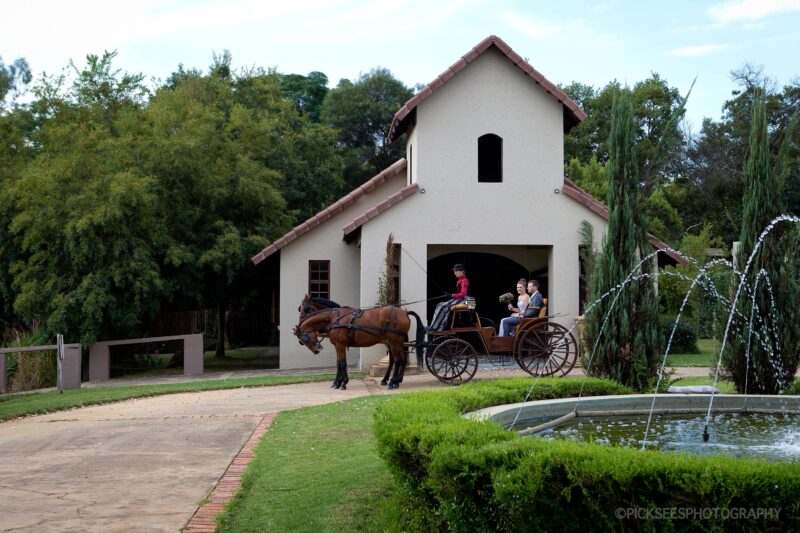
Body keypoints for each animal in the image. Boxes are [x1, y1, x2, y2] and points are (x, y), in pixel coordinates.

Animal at [294, 298, 424, 388]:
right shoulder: (337, 346)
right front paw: (337, 382)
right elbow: (338, 363)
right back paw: (393, 380)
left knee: (398, 360)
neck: (334, 317)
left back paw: (393, 382)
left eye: (305, 309)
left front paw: (343, 383)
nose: (316, 350)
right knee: (397, 360)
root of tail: (404, 312)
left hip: (394, 342)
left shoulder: (340, 345)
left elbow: (342, 364)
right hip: (394, 343)